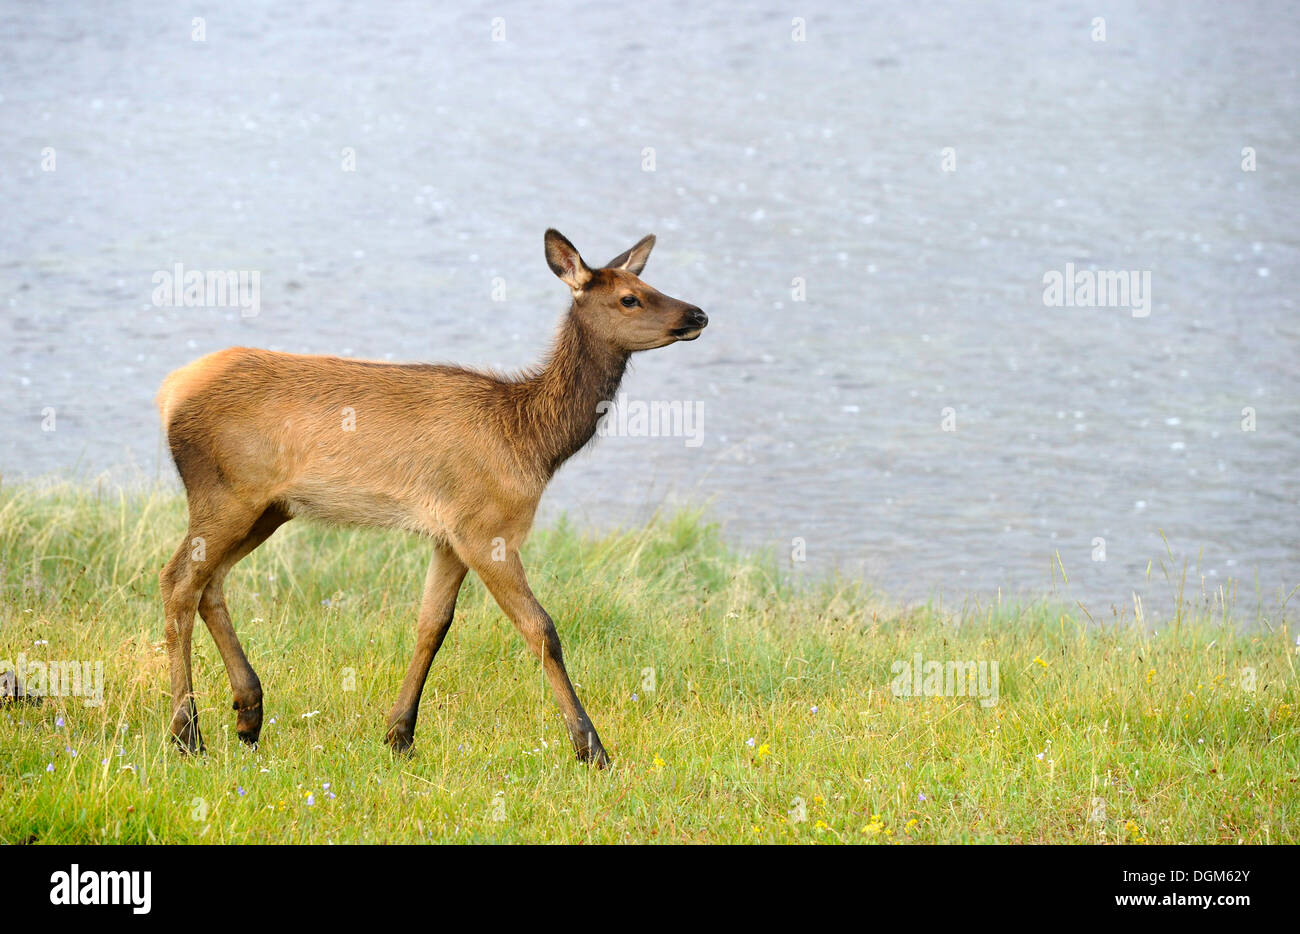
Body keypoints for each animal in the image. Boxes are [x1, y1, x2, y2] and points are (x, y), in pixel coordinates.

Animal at [156, 232, 707, 770]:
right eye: (630, 298)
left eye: (648, 281)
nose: (698, 314)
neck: (533, 443)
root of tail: (168, 393)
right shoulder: (487, 528)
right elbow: (541, 628)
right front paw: (591, 748)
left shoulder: (450, 536)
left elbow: (432, 624)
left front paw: (399, 735)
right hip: (225, 493)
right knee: (178, 579)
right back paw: (187, 735)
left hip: (268, 509)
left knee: (210, 584)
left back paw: (248, 713)